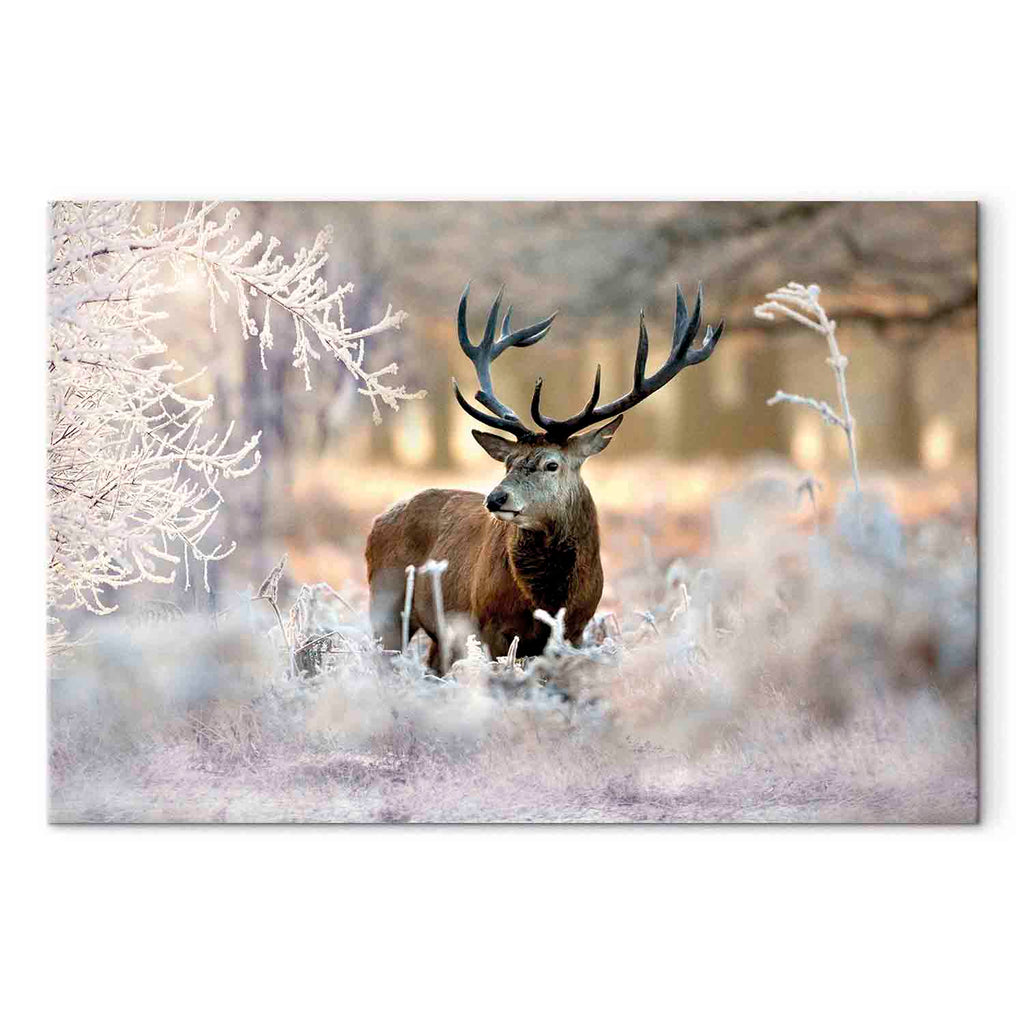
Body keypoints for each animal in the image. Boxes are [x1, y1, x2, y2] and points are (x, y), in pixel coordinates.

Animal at [365, 282, 724, 674]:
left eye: (552, 464)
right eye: (508, 463)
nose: (496, 498)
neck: (548, 600)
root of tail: (378, 520)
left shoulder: (576, 630)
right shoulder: (489, 626)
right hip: (386, 603)